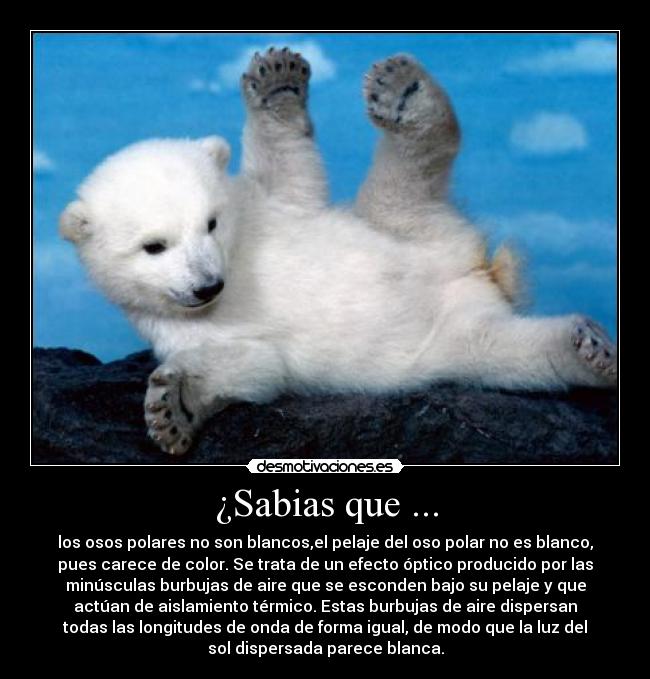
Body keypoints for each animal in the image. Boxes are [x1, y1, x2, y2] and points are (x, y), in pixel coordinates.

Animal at [59, 48, 617, 455]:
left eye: (211, 223)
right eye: (153, 247)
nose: (208, 285)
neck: (237, 263)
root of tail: (477, 270)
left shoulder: (271, 210)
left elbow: (290, 173)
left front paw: (277, 82)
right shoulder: (180, 326)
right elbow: (251, 364)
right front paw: (173, 407)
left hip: (399, 225)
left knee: (409, 172)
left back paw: (405, 91)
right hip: (452, 332)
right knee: (510, 354)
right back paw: (588, 349)